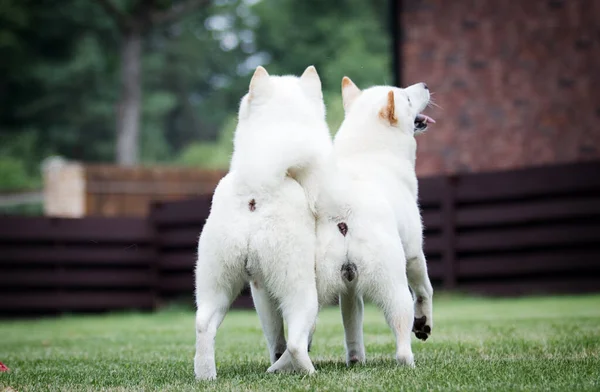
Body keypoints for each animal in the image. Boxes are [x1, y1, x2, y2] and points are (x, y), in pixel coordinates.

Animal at [193, 66, 330, 382]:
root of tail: (257, 187)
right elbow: (299, 336)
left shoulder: (261, 291)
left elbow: (273, 335)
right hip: (301, 291)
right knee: (296, 343)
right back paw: (307, 372)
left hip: (216, 284)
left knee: (203, 324)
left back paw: (206, 375)